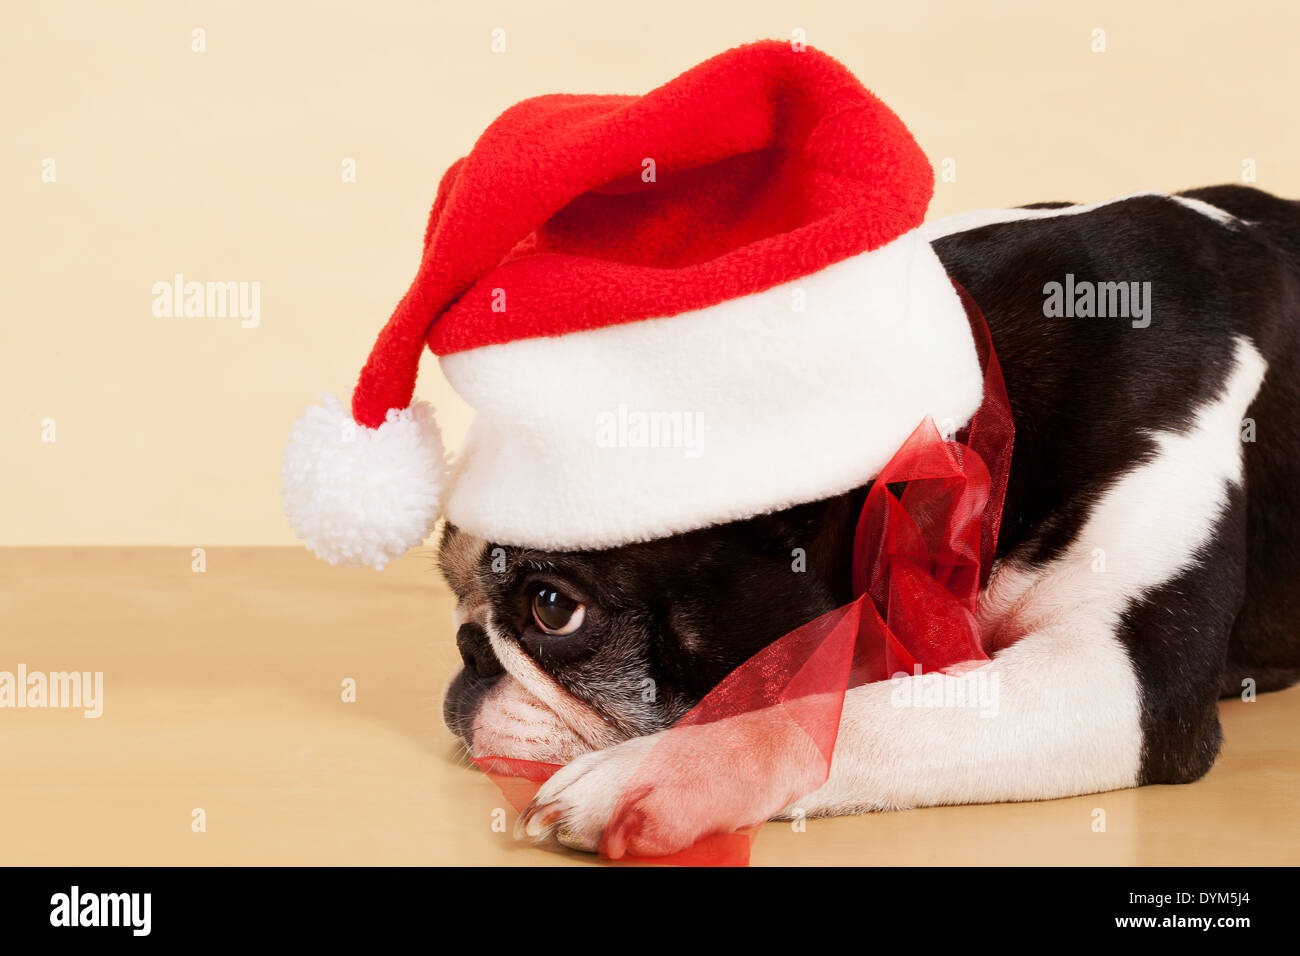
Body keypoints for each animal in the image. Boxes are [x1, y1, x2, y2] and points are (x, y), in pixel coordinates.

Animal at [439, 183, 1300, 858]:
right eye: (451, 589)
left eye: (554, 608)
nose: (469, 648)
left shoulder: (1126, 679)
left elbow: (849, 714)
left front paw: (661, 771)